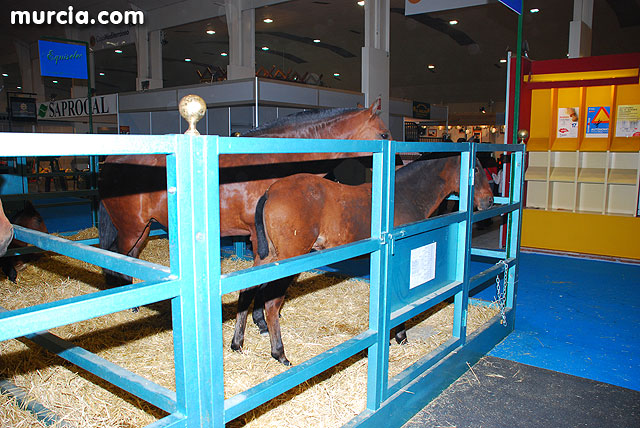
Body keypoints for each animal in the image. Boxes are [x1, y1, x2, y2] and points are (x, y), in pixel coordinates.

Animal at [99, 101, 390, 284]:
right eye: (384, 135)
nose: (398, 160)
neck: (275, 159)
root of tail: (111, 161)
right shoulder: (258, 238)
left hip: (144, 229)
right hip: (131, 230)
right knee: (119, 259)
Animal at [235, 154, 496, 364]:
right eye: (476, 168)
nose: (489, 201)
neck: (402, 196)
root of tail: (271, 191)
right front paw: (400, 336)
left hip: (267, 257)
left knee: (247, 291)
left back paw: (237, 343)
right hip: (289, 258)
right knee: (271, 303)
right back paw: (280, 353)